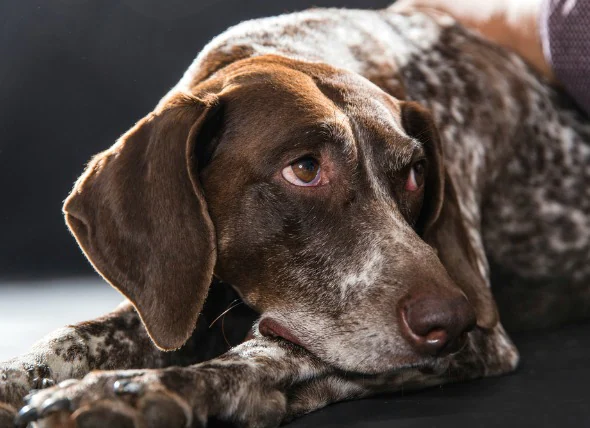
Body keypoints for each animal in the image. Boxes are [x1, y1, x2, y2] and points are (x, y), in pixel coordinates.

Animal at [1, 3, 590, 428]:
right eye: (304, 169)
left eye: (416, 174)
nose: (451, 319)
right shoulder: (187, 289)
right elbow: (76, 335)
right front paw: (17, 377)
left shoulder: (482, 341)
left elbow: (272, 352)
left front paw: (136, 389)